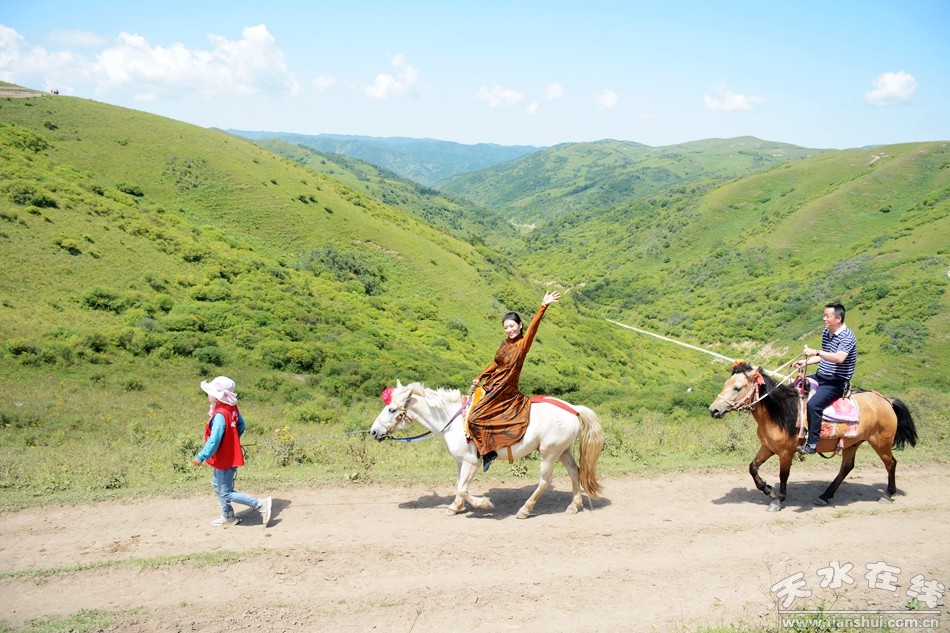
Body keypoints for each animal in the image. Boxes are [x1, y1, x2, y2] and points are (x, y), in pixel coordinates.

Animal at [369, 381, 604, 518]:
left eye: (391, 409)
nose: (373, 432)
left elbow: (464, 489)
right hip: (563, 451)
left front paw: (484, 504)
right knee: (575, 472)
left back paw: (525, 510)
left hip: (549, 453)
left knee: (545, 481)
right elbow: (459, 486)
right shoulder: (460, 461)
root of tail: (572, 408)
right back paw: (574, 505)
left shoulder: (472, 462)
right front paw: (455, 507)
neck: (453, 421)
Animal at [708, 362, 917, 512]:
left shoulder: (786, 452)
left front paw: (778, 499)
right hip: (853, 443)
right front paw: (768, 490)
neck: (780, 412)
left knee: (890, 464)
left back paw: (888, 494)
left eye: (737, 388)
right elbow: (752, 467)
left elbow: (783, 475)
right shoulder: (768, 447)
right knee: (847, 467)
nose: (714, 410)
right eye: (726, 384)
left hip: (881, 442)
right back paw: (825, 495)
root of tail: (886, 400)